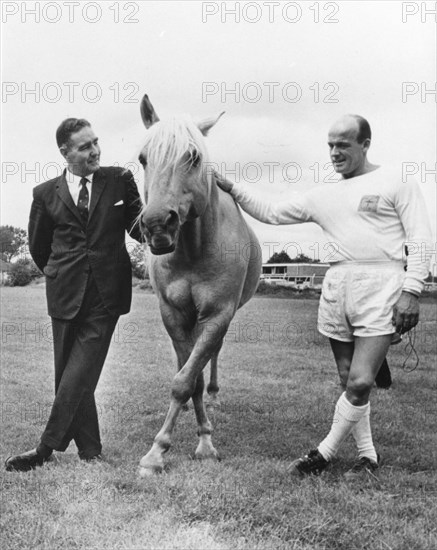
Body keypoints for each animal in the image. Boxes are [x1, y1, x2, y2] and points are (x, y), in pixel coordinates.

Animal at [137, 96, 258, 478]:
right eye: (143, 158)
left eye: (193, 157)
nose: (157, 225)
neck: (193, 250)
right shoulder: (173, 314)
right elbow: (187, 378)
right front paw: (161, 449)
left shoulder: (217, 314)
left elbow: (187, 379)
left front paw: (199, 444)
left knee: (212, 355)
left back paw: (215, 395)